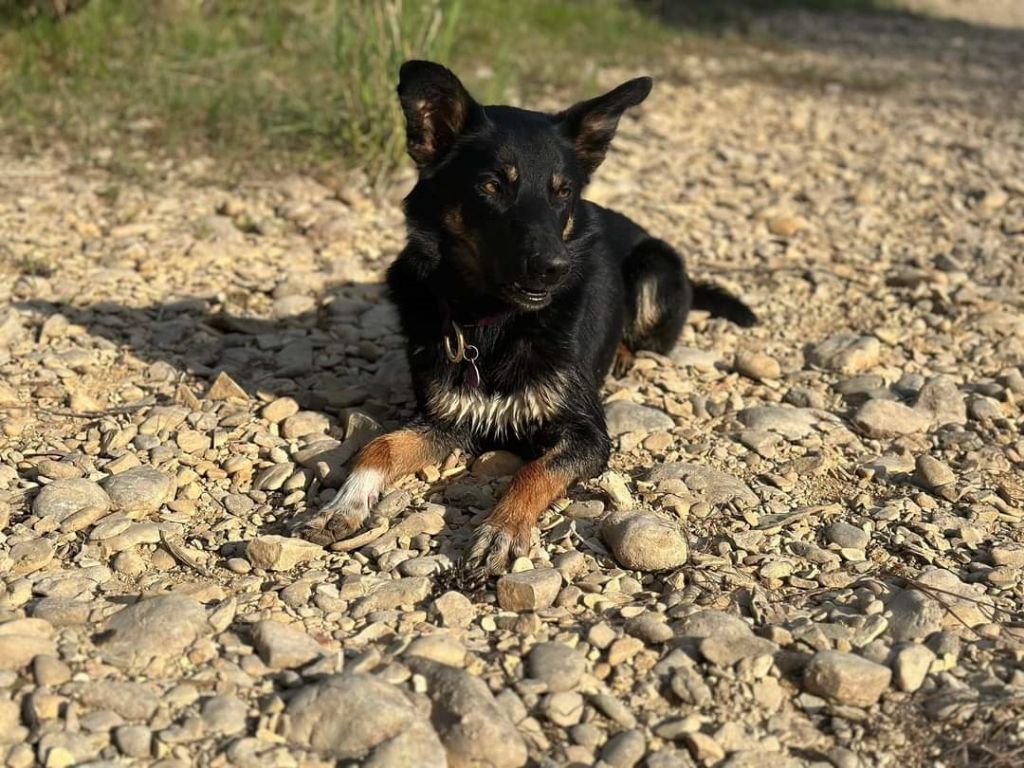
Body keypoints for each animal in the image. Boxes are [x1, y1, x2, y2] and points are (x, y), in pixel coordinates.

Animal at [288, 61, 753, 577]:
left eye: (563, 191)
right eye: (492, 185)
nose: (554, 268)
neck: (492, 321)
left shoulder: (587, 434)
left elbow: (534, 470)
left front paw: (503, 528)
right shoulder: (446, 421)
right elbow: (380, 446)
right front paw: (343, 505)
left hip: (655, 263)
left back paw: (625, 353)